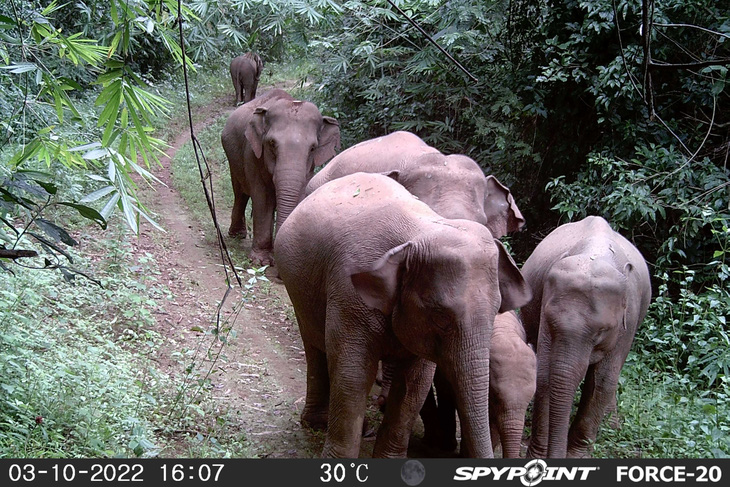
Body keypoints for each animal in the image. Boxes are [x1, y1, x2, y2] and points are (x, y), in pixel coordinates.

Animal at [220, 89, 340, 268]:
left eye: (313, 148)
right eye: (271, 143)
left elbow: (299, 195)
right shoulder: (252, 154)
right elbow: (262, 198)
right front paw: (260, 261)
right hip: (232, 155)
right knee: (240, 192)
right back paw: (237, 235)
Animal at [272, 173, 528, 460]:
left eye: (496, 312)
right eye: (441, 318)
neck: (418, 233)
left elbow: (414, 385)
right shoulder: (348, 294)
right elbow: (352, 373)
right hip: (298, 285)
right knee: (315, 345)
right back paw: (317, 423)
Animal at [520, 215, 652, 460]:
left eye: (601, 331)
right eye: (551, 323)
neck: (594, 255)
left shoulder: (629, 317)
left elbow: (603, 379)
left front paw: (576, 455)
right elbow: (545, 373)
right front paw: (537, 456)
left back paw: (612, 426)